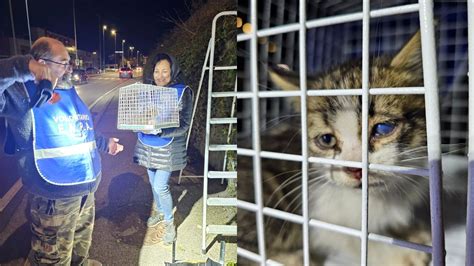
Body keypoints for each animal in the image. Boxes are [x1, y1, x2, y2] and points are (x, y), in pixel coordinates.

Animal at [239, 30, 468, 264]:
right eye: (327, 140)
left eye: (383, 128)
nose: (354, 169)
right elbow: (348, 238)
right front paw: (398, 253)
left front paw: (407, 233)